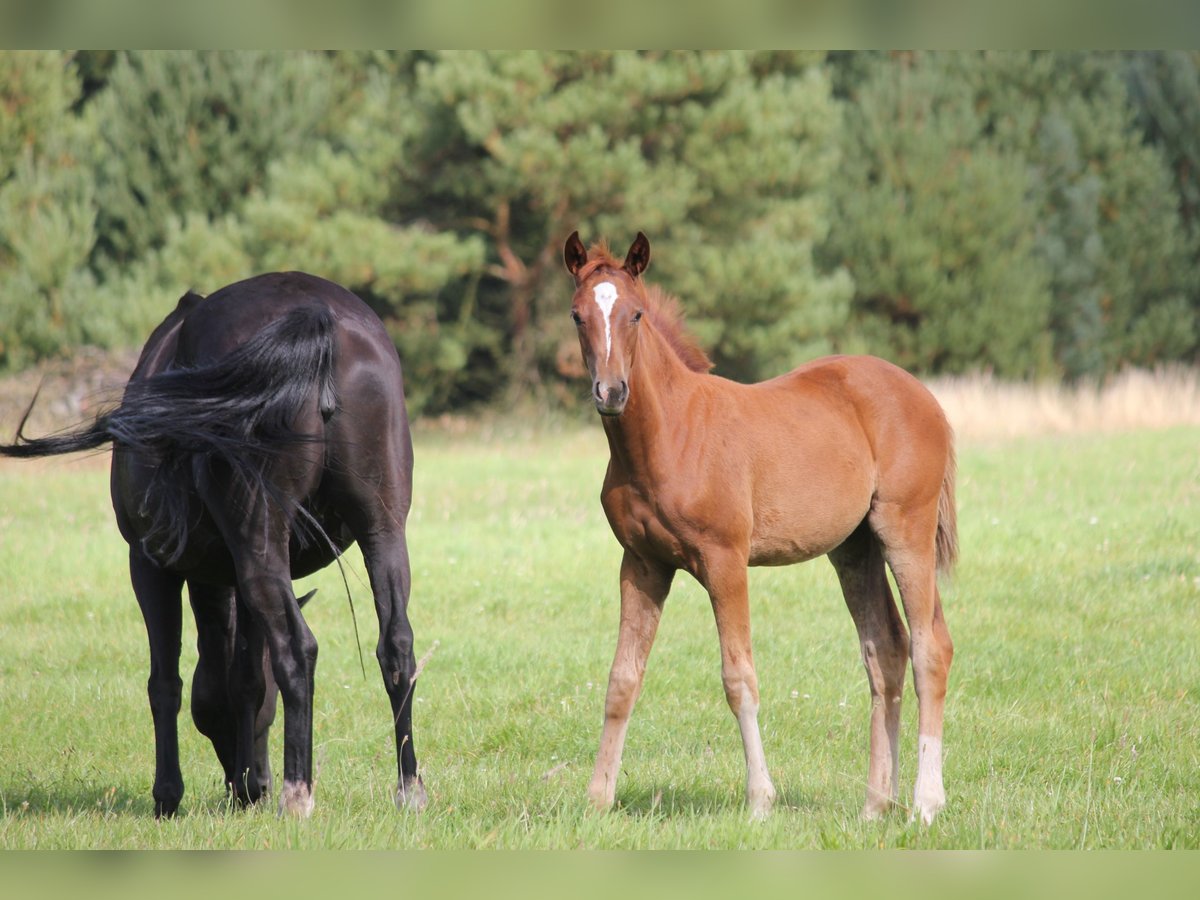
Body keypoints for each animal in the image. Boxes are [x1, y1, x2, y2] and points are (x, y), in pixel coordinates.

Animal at [0, 273, 424, 816]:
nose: (257, 782)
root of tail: (318, 317)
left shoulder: (150, 564)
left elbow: (166, 681)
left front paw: (167, 795)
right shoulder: (234, 577)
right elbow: (246, 677)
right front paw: (243, 785)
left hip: (258, 537)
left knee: (297, 648)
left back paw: (297, 793)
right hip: (381, 530)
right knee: (396, 646)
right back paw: (409, 788)